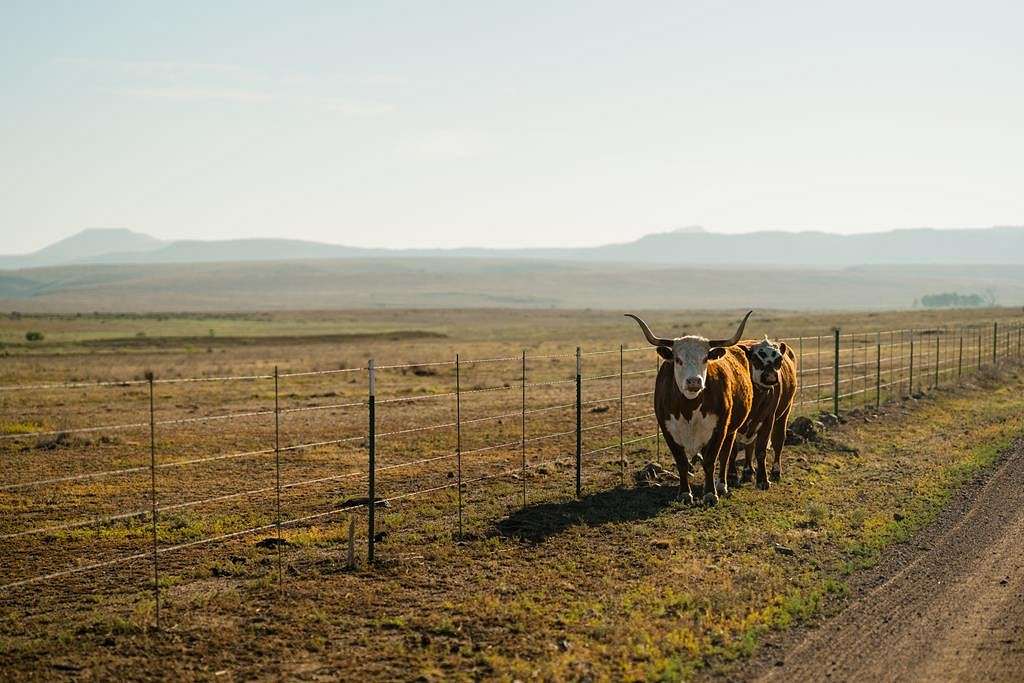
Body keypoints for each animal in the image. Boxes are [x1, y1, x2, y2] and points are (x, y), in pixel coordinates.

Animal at [618, 313, 757, 505]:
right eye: (678, 360)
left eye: (705, 359)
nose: (694, 381)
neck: (689, 408)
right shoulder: (668, 430)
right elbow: (681, 462)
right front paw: (684, 493)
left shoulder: (719, 429)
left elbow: (710, 461)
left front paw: (710, 494)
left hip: (731, 430)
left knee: (725, 455)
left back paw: (722, 485)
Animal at [729, 335, 798, 485]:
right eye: (755, 358)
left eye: (779, 359)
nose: (770, 376)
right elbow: (733, 450)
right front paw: (732, 476)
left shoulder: (768, 419)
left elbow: (761, 450)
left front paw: (763, 480)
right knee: (750, 445)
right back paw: (748, 472)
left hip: (783, 414)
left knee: (778, 441)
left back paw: (775, 472)